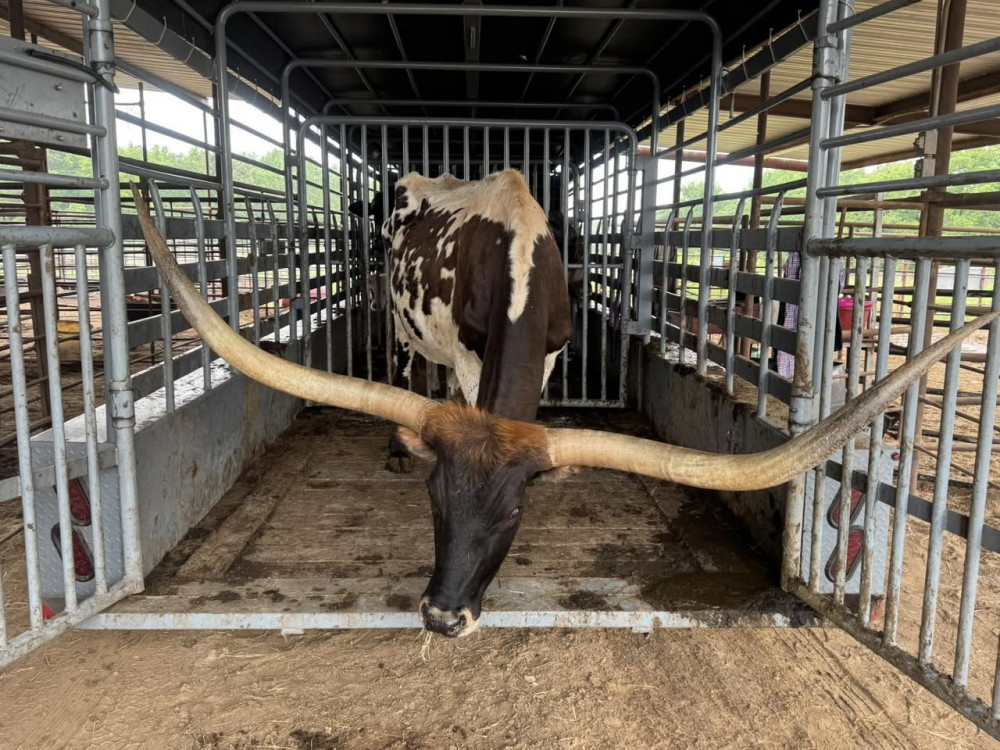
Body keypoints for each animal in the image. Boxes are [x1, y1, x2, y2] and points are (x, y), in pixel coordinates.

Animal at [133, 181, 995, 639]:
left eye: (514, 515)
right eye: (435, 502)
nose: (443, 619)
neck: (516, 256)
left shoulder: (545, 355)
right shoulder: (468, 353)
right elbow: (455, 396)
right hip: (402, 317)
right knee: (412, 363)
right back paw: (394, 443)